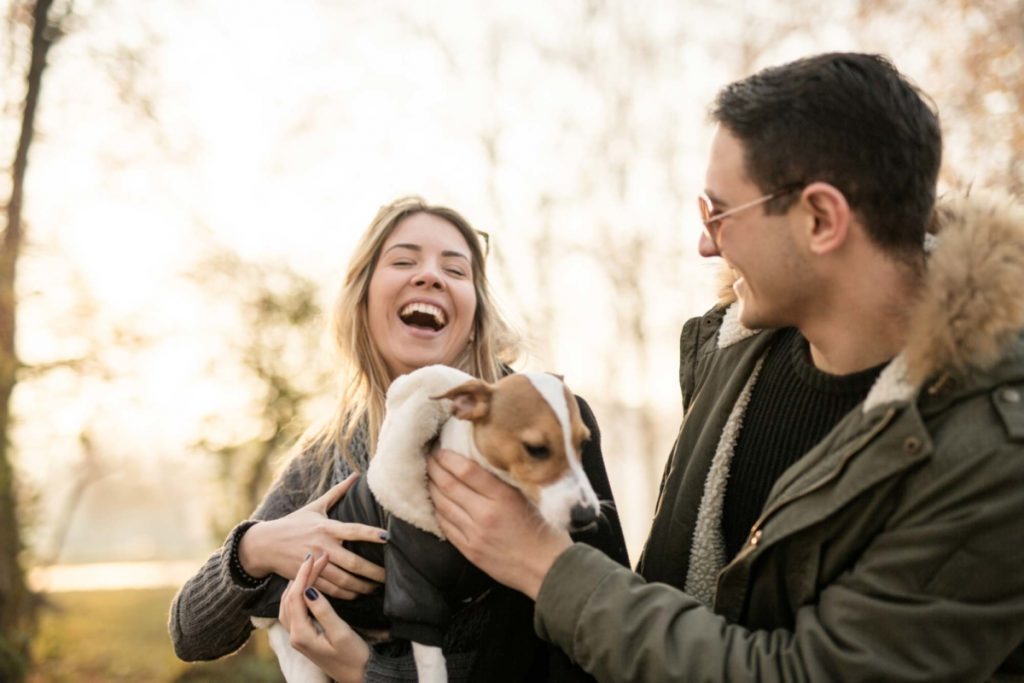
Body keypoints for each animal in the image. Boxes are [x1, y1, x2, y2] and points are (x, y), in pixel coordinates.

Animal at [250, 366, 598, 679]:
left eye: (584, 443)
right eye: (536, 449)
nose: (587, 515)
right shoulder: (412, 586)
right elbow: (433, 666)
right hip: (301, 654)